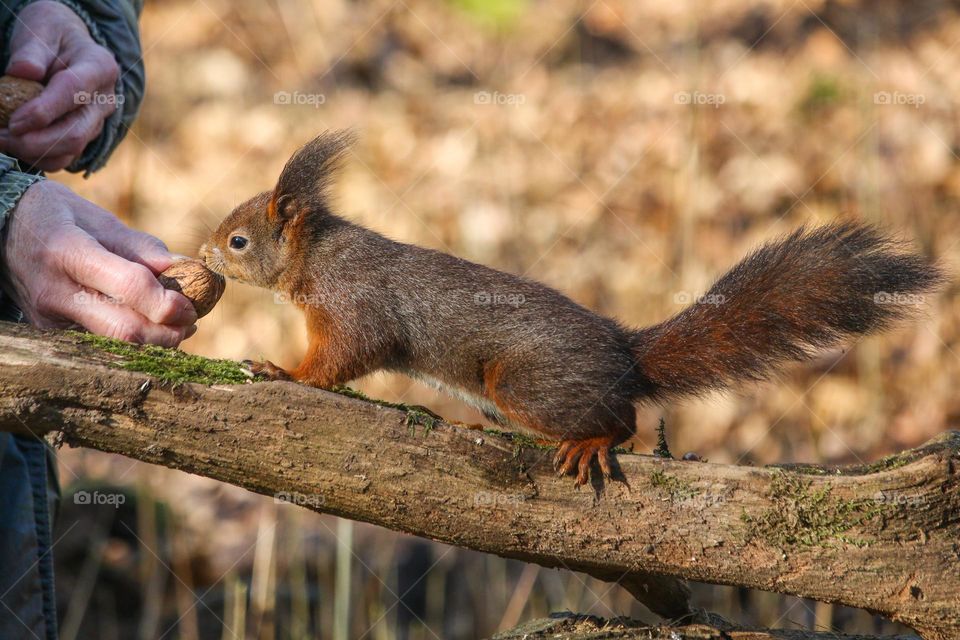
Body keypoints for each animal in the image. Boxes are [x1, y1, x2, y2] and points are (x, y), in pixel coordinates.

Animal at [202, 132, 944, 488]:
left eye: (239, 241)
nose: (204, 252)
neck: (317, 260)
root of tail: (625, 352)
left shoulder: (355, 306)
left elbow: (340, 359)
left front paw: (283, 372)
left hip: (526, 383)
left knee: (624, 421)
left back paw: (591, 442)